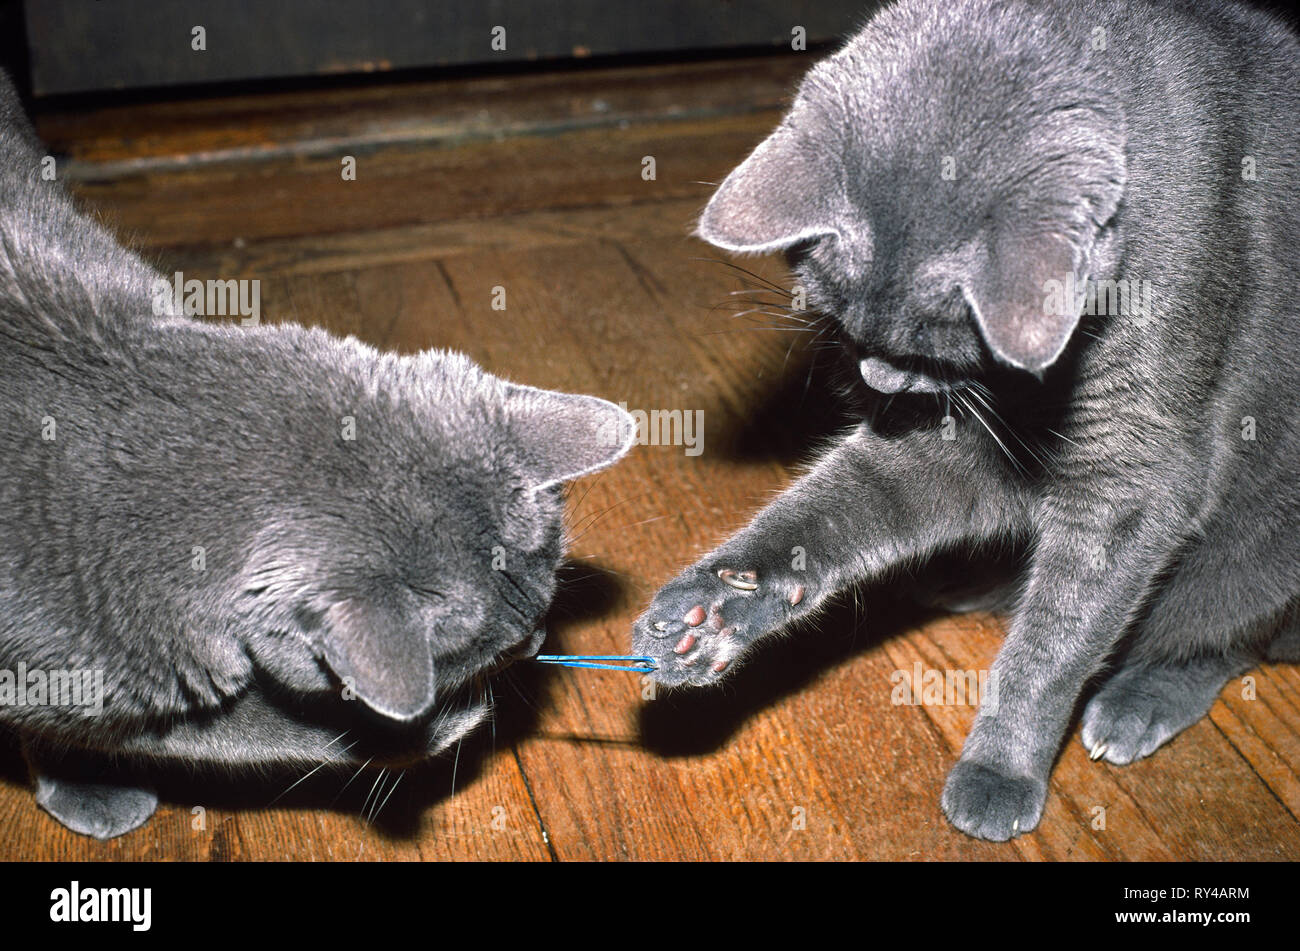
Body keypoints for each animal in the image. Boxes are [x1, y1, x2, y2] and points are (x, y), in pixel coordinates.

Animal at [0, 70, 629, 836]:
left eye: (547, 601)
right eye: (491, 651)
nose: (538, 638)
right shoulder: (64, 672)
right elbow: (229, 732)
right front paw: (416, 731)